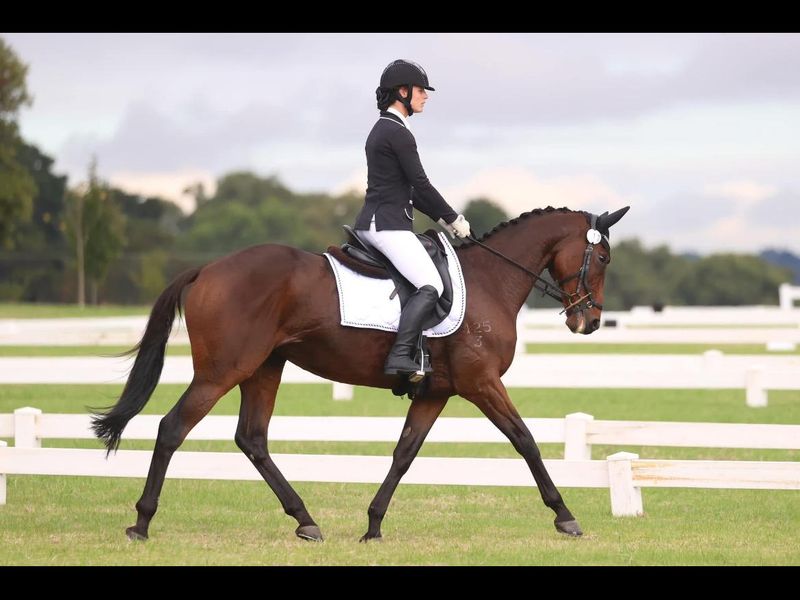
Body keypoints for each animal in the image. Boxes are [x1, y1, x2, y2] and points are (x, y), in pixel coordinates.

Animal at [92, 205, 629, 542]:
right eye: (602, 257)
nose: (589, 322)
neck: (489, 282)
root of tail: (207, 269)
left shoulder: (435, 393)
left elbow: (404, 454)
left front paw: (372, 526)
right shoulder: (481, 384)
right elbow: (526, 441)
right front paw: (565, 517)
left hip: (264, 368)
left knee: (252, 439)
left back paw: (306, 521)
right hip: (223, 370)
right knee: (172, 428)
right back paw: (141, 524)